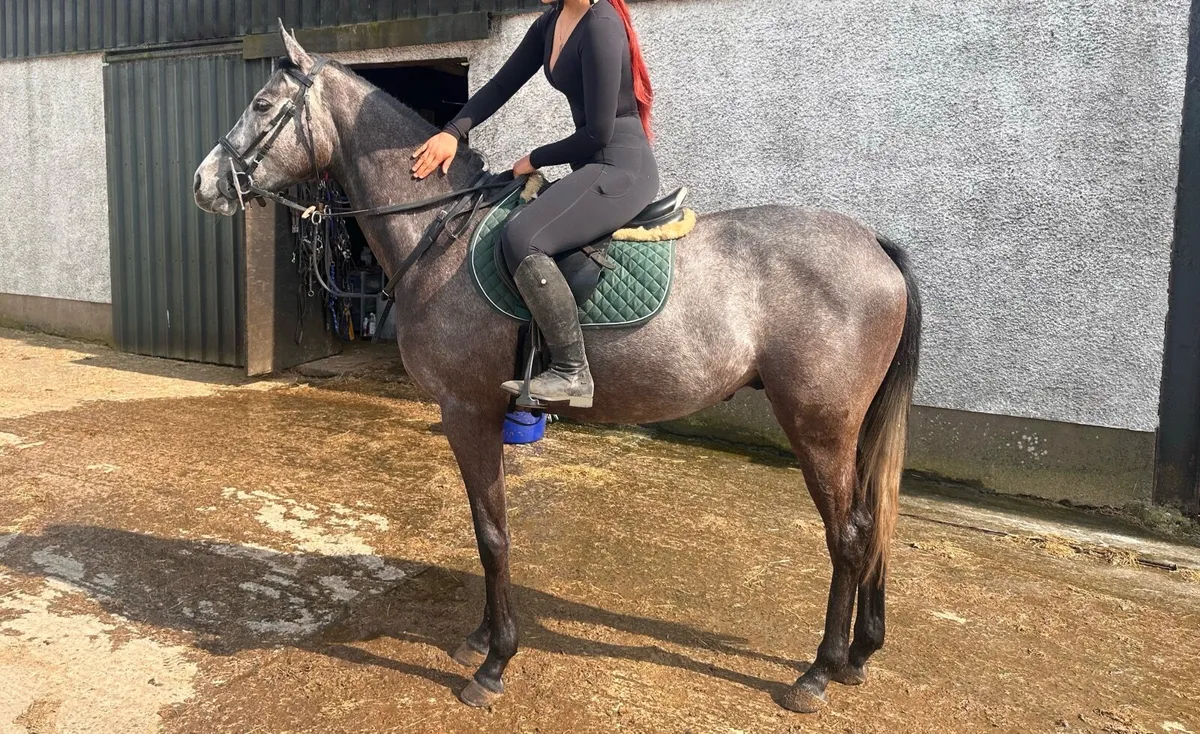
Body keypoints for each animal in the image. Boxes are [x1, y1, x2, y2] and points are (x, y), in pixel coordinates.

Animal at [193, 24, 921, 714]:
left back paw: (819, 671)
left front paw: (494, 664)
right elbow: (485, 526)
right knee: (872, 522)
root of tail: (873, 244)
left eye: (262, 105)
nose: (204, 183)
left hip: (819, 426)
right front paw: (481, 639)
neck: (443, 233)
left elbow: (492, 534)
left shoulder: (467, 412)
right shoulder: (477, 416)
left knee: (849, 534)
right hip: (847, 429)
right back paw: (860, 654)